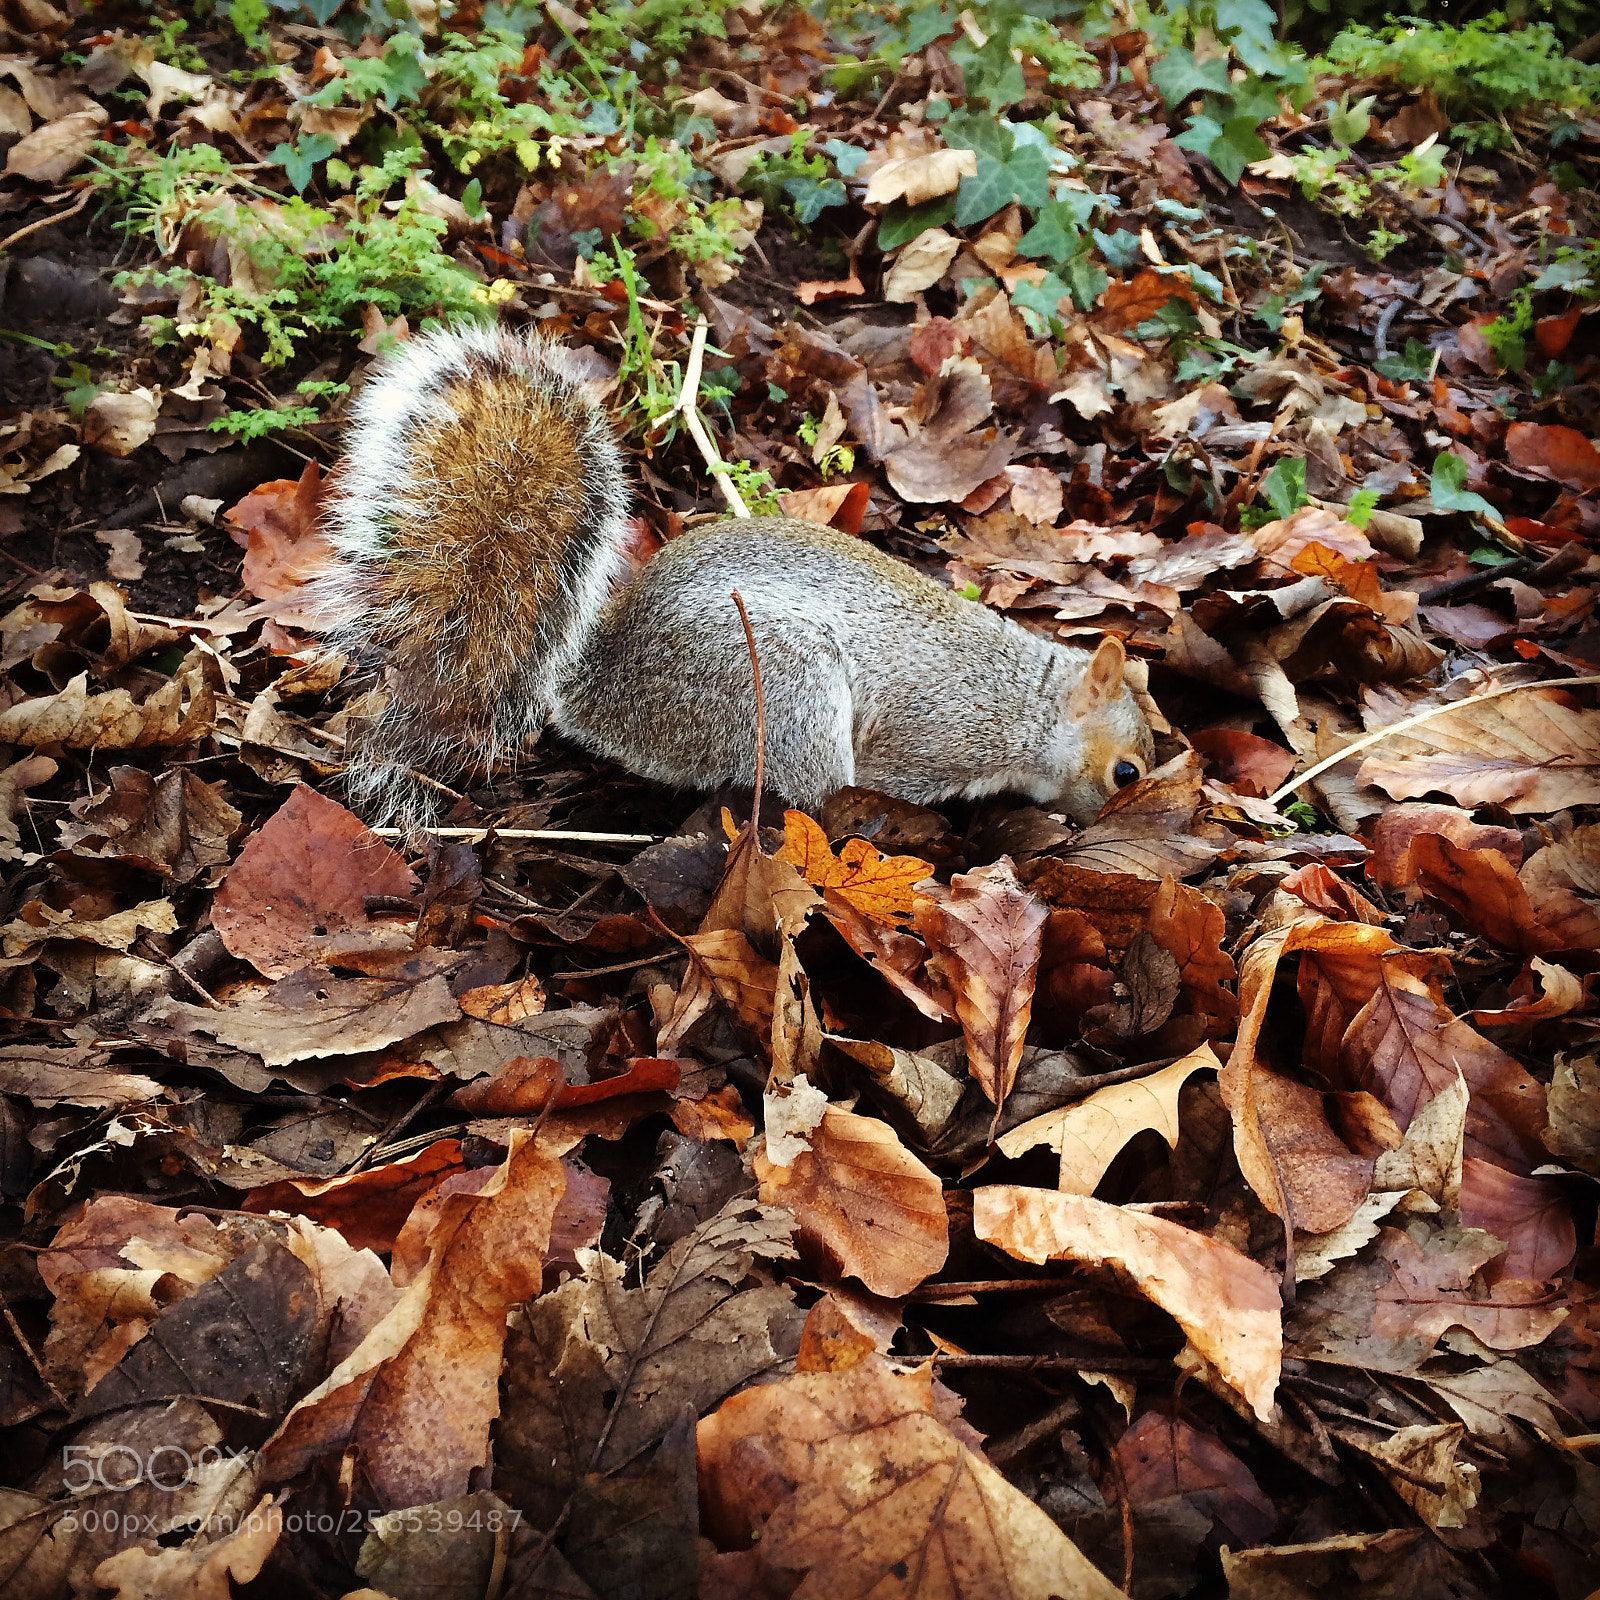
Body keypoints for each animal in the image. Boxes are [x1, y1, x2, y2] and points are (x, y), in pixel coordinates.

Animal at [314, 323, 1155, 833]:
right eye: (1127, 771)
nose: (1109, 823)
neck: (1030, 701)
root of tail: (603, 687)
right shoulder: (935, 742)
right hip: (782, 684)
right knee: (812, 791)